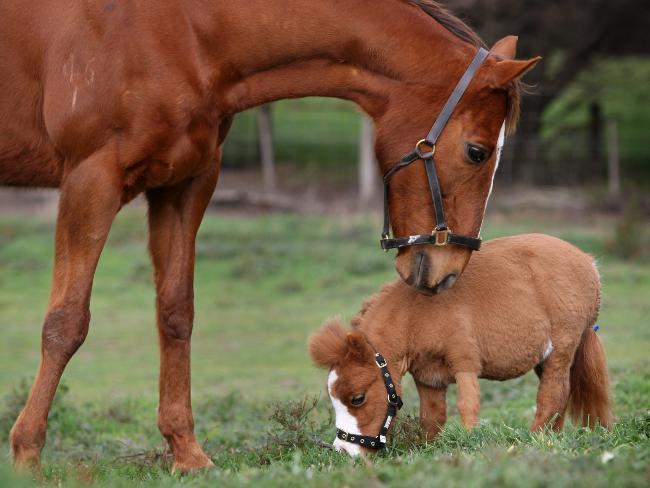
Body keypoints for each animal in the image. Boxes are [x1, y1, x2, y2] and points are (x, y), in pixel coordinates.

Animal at [1, 0, 536, 472]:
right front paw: (27, 456)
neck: (184, 30)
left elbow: (175, 314)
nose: (448, 274)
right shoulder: (91, 181)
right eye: (476, 151)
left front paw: (187, 455)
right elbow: (66, 323)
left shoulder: (184, 185)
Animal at [312, 234, 612, 456]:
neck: (417, 314)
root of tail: (589, 263)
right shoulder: (429, 379)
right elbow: (432, 419)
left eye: (357, 398)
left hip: (561, 352)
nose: (343, 450)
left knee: (553, 396)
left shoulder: (465, 365)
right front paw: (427, 450)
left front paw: (469, 446)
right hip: (545, 360)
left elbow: (468, 409)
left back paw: (534, 440)